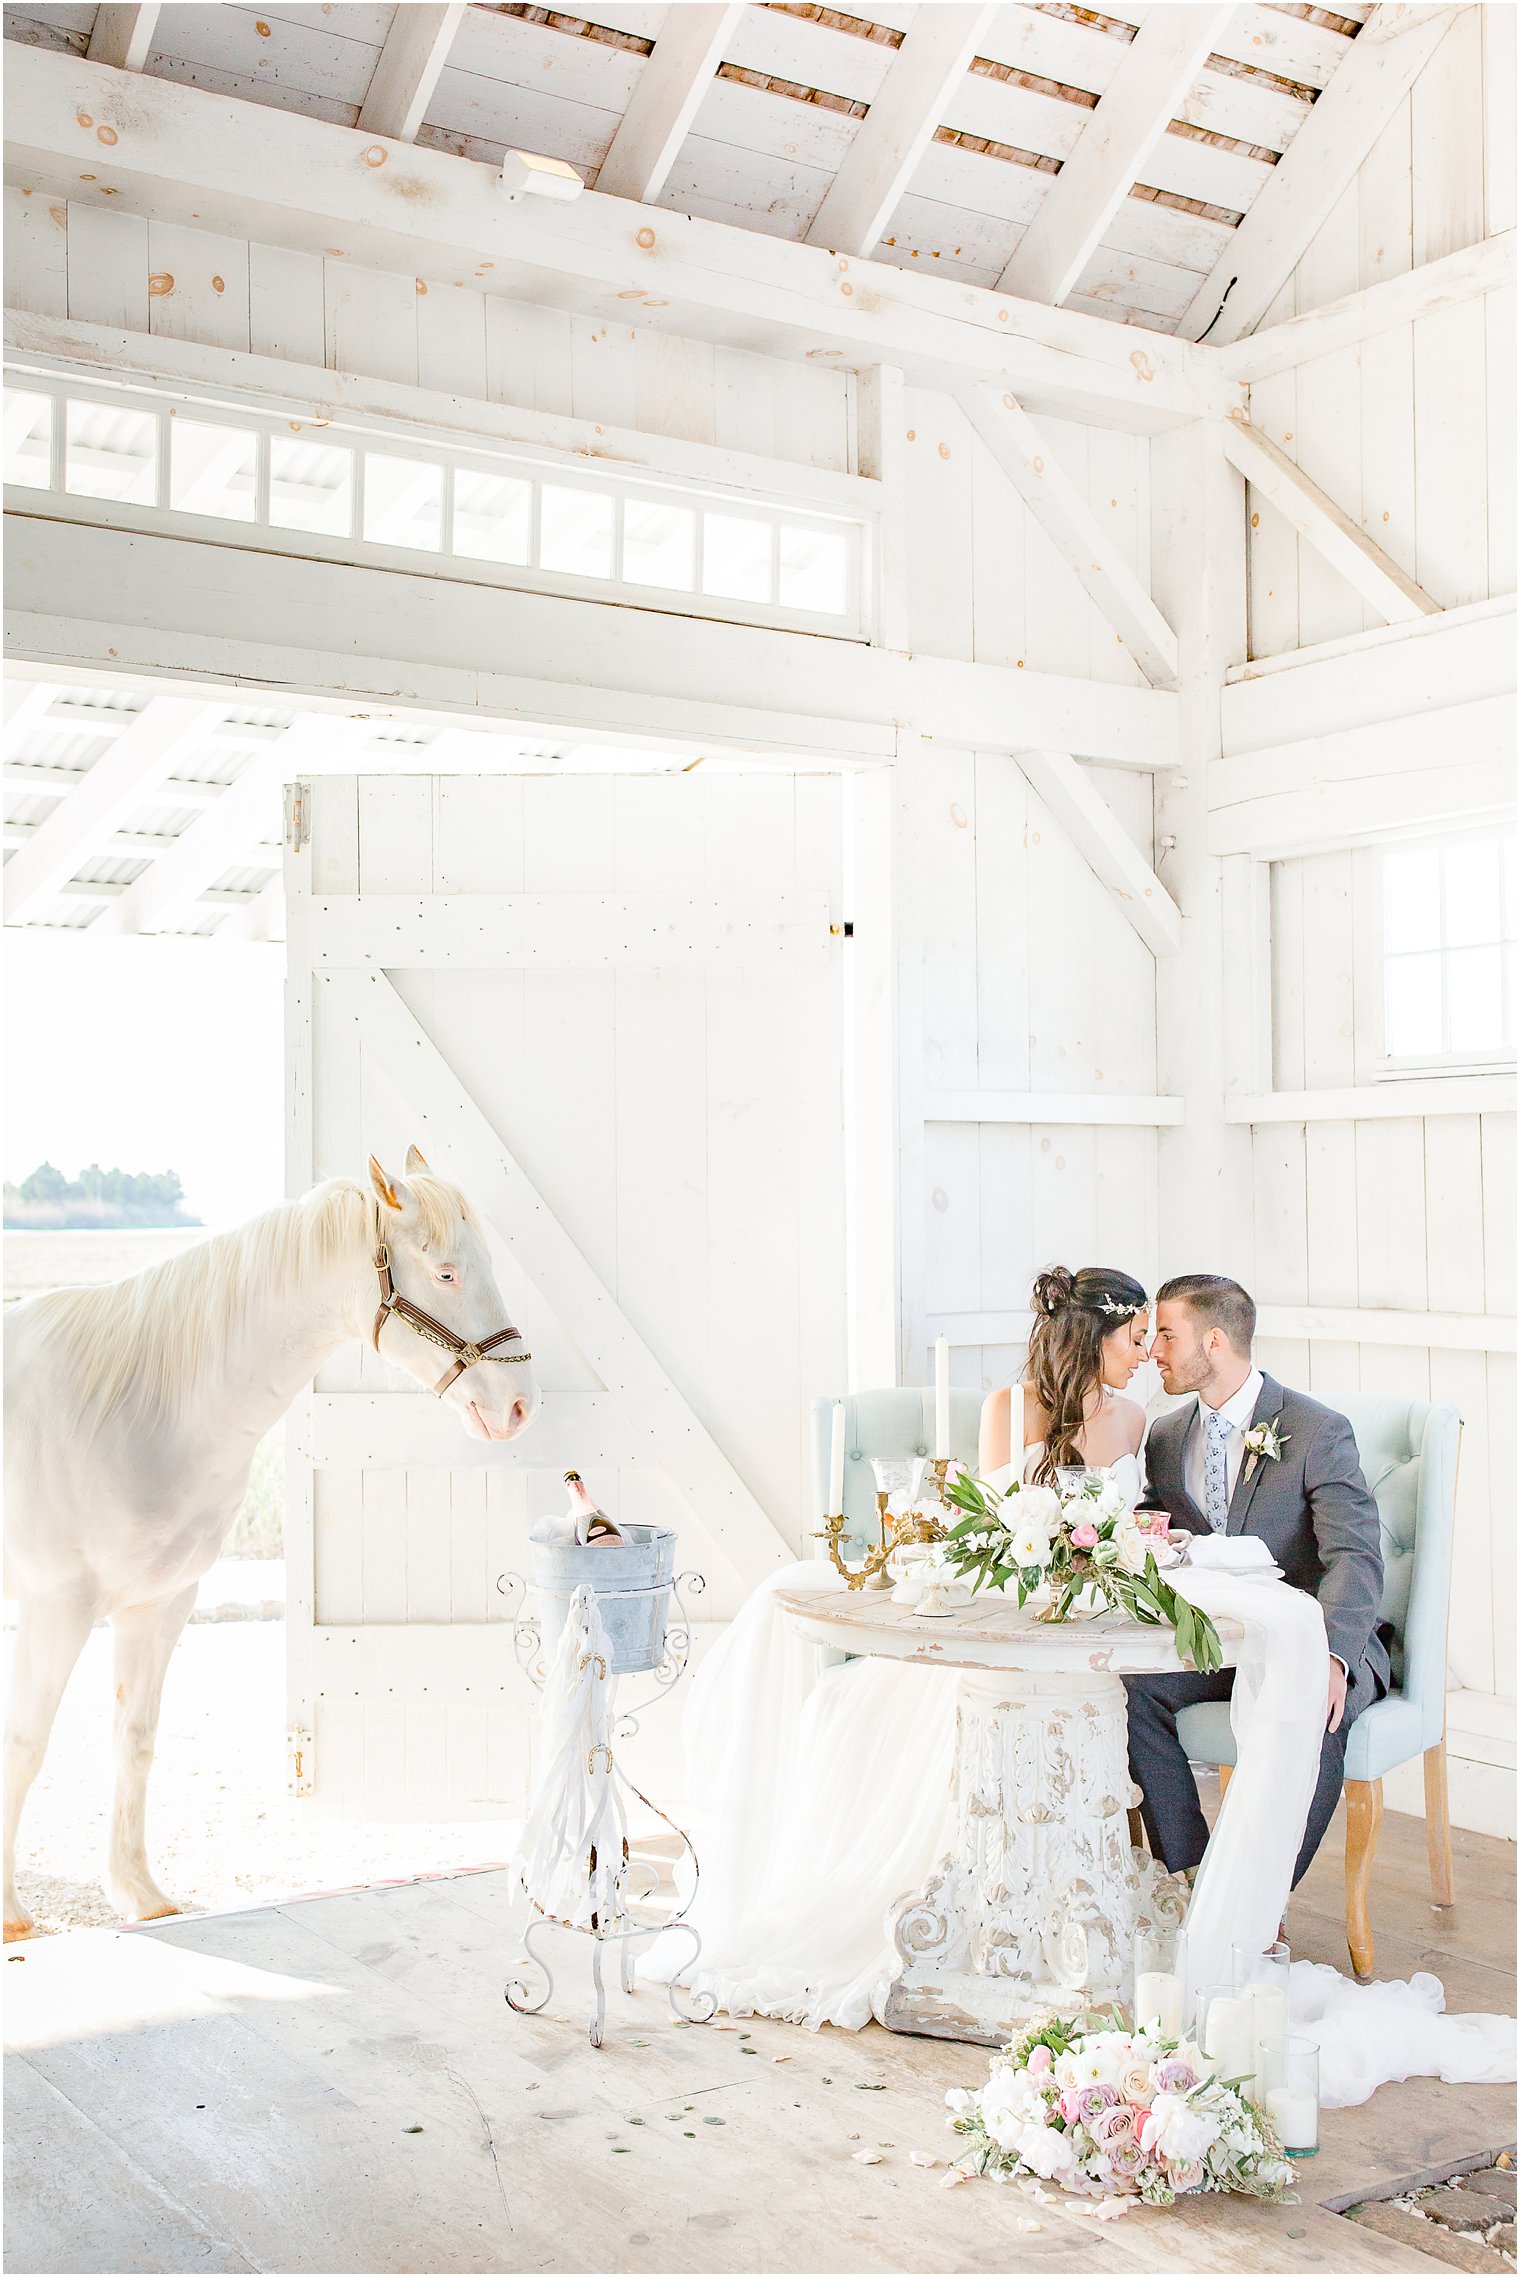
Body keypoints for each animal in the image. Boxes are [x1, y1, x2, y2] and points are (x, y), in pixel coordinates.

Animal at [2, 1156, 539, 1940]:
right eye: (444, 1272)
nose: (520, 1405)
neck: (132, 1407)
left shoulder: (159, 1604)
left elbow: (135, 1739)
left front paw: (139, 1893)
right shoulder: (55, 1607)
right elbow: (24, 1744)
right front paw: (11, 1915)